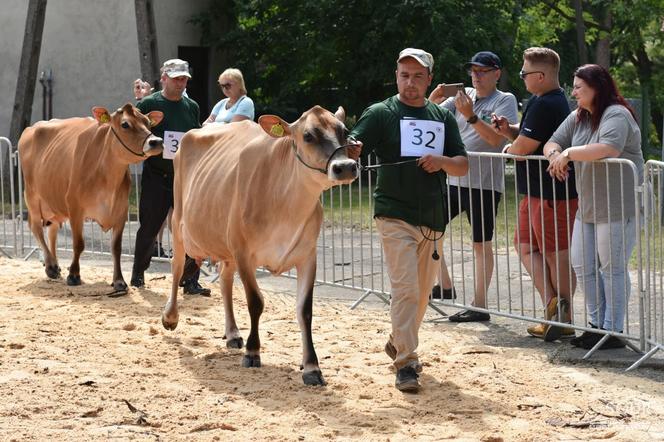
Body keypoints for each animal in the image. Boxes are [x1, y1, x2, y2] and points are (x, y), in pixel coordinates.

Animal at [18, 103, 164, 294]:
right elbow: (78, 244)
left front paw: (119, 281)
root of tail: (31, 128)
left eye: (148, 122)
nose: (156, 141)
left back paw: (55, 265)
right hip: (32, 195)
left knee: (52, 229)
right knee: (35, 227)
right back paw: (50, 266)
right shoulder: (75, 208)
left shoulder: (121, 212)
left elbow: (116, 248)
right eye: (125, 124)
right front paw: (74, 276)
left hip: (54, 202)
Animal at [161, 105, 358, 386]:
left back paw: (233, 334)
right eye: (308, 135)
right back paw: (170, 317)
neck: (286, 208)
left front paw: (311, 367)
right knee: (177, 266)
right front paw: (253, 352)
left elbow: (305, 311)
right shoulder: (244, 253)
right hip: (179, 222)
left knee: (224, 280)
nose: (346, 167)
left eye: (344, 131)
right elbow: (255, 302)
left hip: (226, 246)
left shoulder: (307, 256)